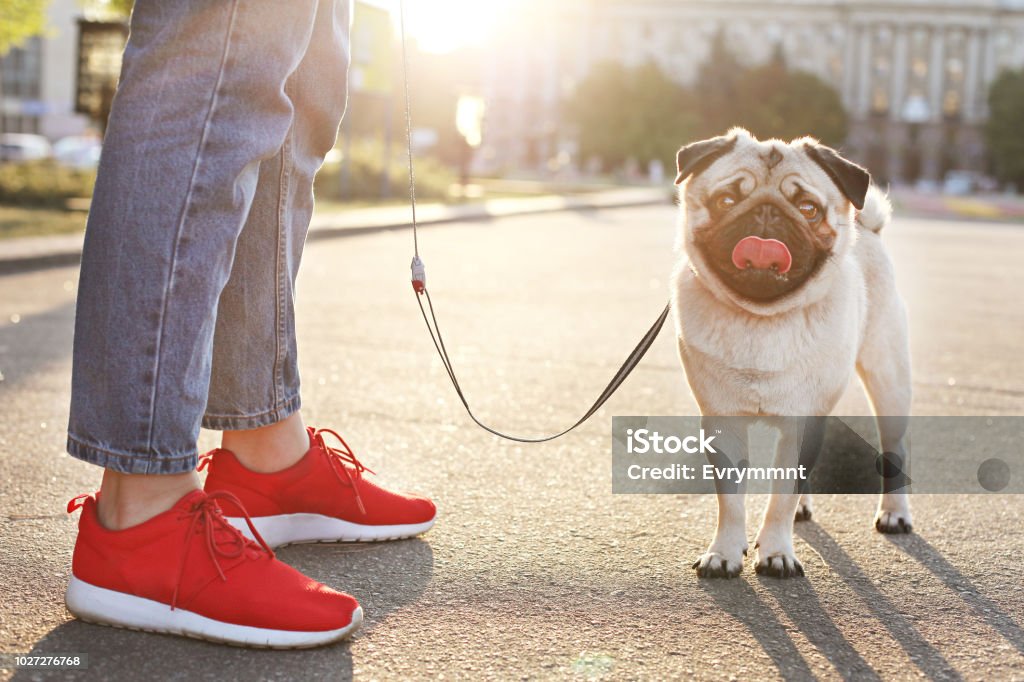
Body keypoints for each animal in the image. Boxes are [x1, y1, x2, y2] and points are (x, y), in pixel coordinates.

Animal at [671, 124, 913, 577]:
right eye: (726, 201)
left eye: (808, 208)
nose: (767, 213)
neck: (763, 318)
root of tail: (870, 232)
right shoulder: (723, 421)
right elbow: (731, 501)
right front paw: (725, 552)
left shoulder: (804, 417)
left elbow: (780, 495)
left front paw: (776, 552)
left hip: (889, 382)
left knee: (895, 447)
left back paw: (895, 513)